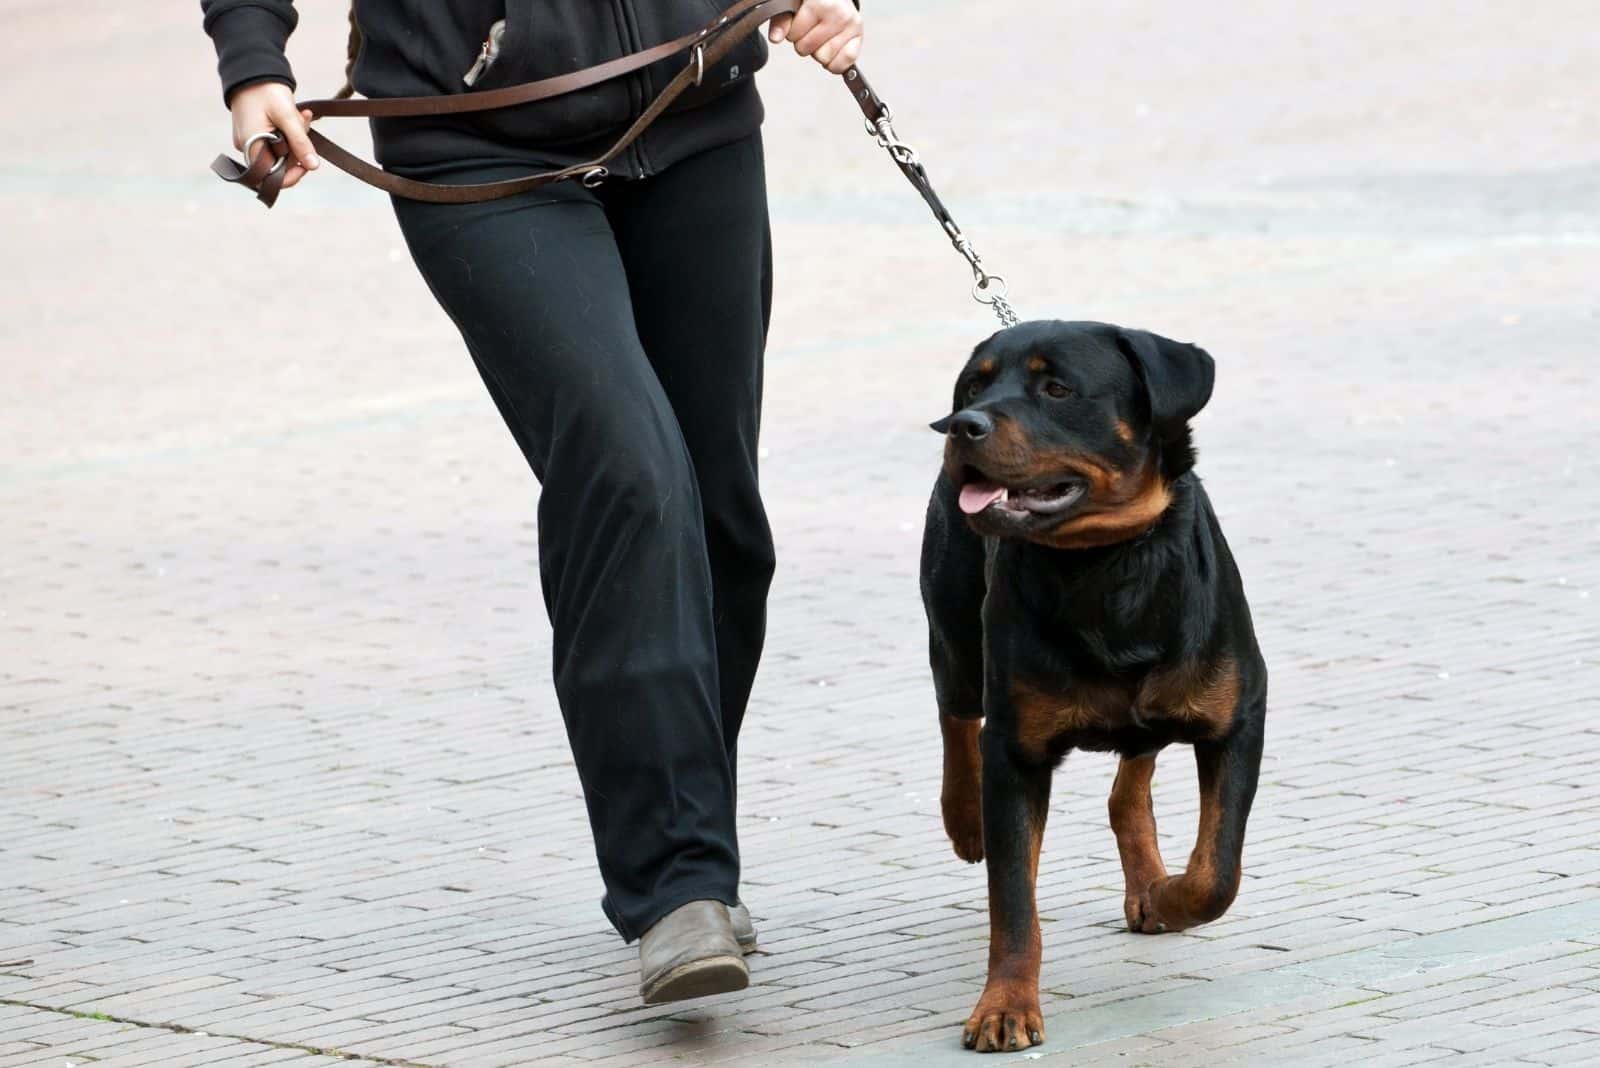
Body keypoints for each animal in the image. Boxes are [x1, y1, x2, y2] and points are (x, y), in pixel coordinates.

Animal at [921, 319, 1267, 1048]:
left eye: (1057, 389)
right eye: (974, 386)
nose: (963, 424)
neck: (1103, 563)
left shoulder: (1239, 716)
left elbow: (1216, 871)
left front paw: (1169, 895)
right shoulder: (1016, 753)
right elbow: (1013, 902)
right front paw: (1005, 1005)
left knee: (1130, 780)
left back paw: (1148, 883)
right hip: (955, 621)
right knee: (956, 714)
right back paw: (965, 818)